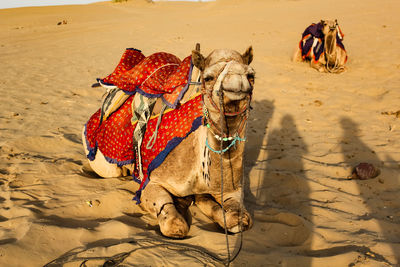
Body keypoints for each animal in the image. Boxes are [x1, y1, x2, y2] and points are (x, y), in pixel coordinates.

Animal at [82, 45, 255, 239]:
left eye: (251, 75)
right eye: (208, 77)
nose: (237, 84)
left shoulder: (233, 189)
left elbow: (240, 219)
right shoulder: (151, 181)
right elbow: (174, 224)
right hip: (104, 163)